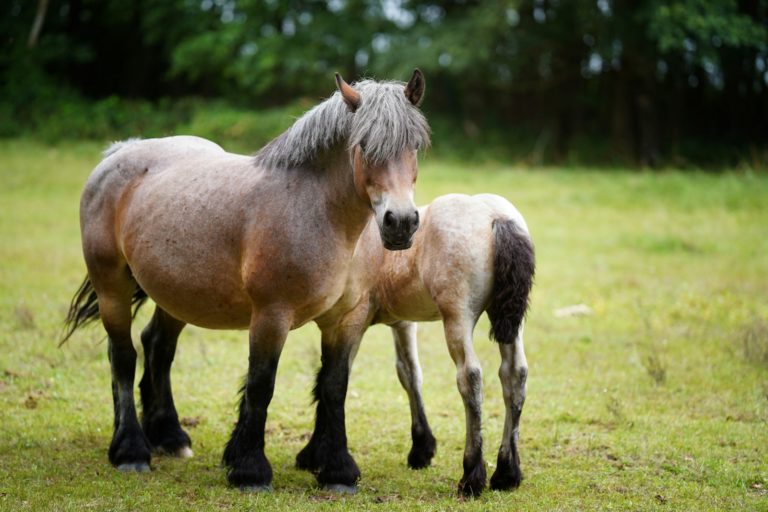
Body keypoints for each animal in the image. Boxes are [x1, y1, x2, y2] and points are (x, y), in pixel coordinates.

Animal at [62, 70, 428, 490]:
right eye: (364, 145)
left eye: (415, 146)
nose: (401, 223)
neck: (317, 212)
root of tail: (120, 153)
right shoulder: (271, 315)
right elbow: (261, 384)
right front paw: (251, 470)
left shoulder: (345, 319)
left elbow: (335, 386)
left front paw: (338, 471)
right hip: (112, 288)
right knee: (123, 356)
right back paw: (131, 451)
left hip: (177, 295)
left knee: (158, 347)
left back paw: (169, 436)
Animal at [294, 193, 536, 496]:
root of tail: (496, 217)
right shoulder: (402, 323)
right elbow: (409, 374)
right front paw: (422, 449)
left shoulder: (346, 323)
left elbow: (329, 380)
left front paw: (315, 455)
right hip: (511, 325)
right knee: (514, 375)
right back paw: (507, 473)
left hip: (458, 318)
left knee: (470, 377)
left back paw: (471, 476)